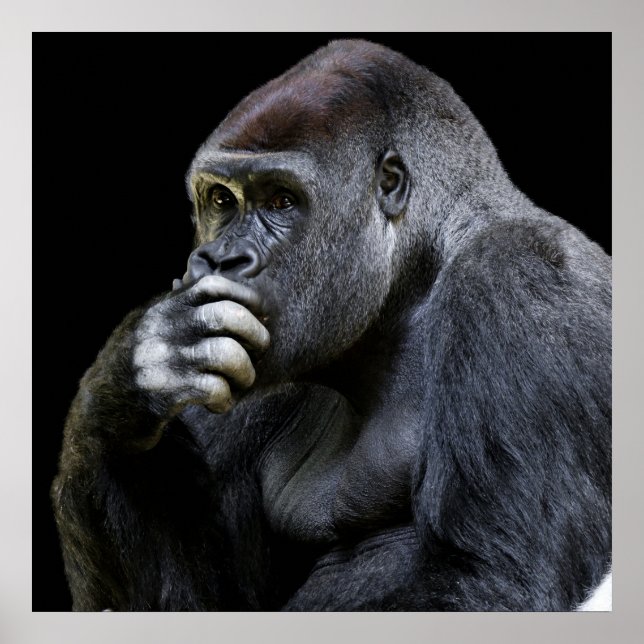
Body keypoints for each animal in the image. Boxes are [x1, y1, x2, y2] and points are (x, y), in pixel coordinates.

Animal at [51, 39, 611, 611]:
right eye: (222, 200)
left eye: (281, 200)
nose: (220, 260)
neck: (416, 274)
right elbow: (189, 600)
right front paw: (128, 384)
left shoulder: (519, 277)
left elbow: (490, 577)